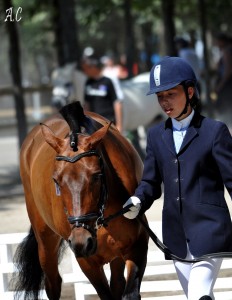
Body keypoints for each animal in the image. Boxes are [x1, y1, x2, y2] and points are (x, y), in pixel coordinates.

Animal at [13, 102, 149, 298]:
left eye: (97, 176)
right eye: (56, 181)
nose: (81, 241)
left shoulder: (137, 246)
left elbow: (129, 293)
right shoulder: (87, 262)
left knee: (117, 282)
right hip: (45, 242)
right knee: (53, 283)